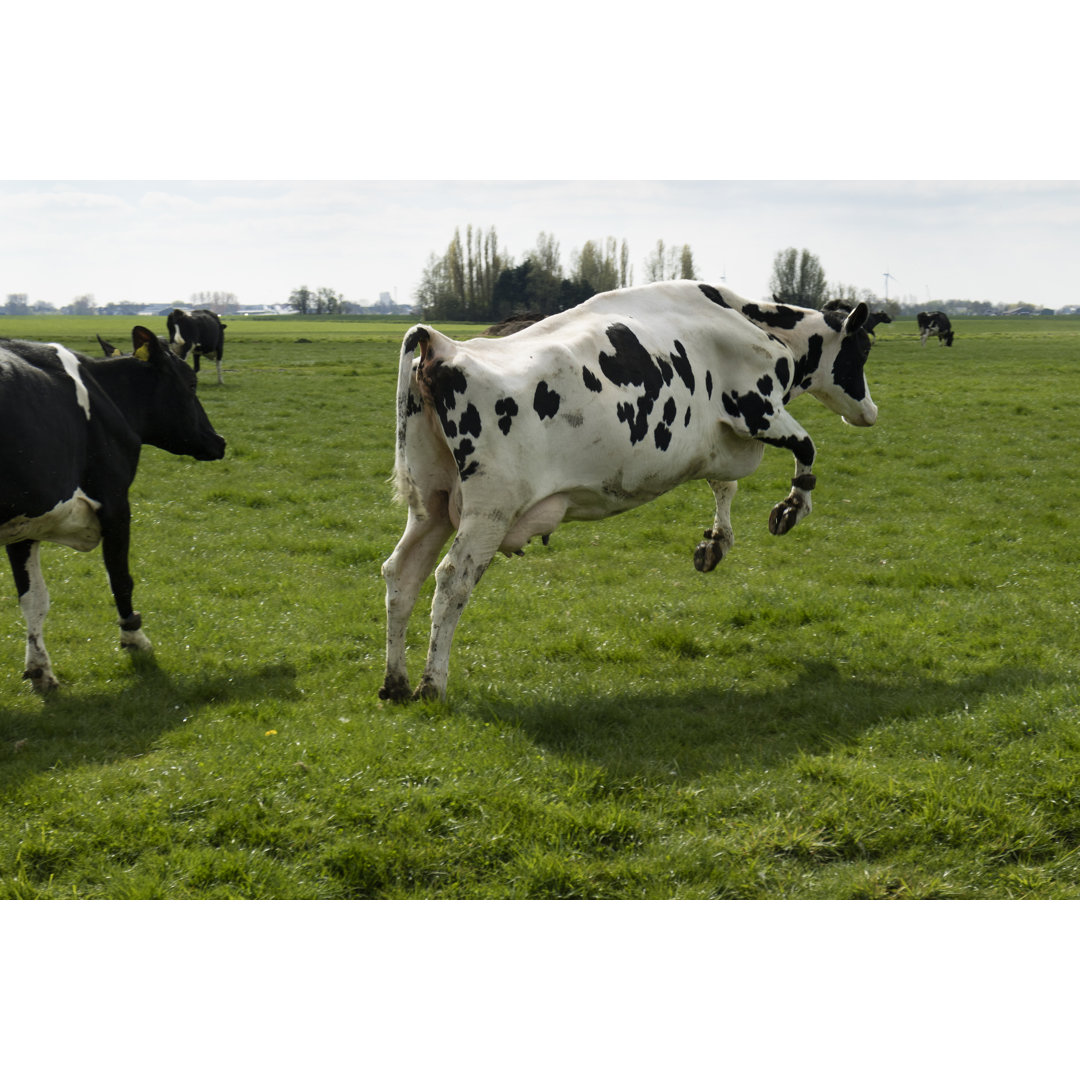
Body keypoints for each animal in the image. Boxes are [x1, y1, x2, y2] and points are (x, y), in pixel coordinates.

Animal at [0, 324, 224, 686]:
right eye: (191, 384)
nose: (219, 441)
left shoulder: (26, 518)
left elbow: (33, 597)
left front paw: (40, 669)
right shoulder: (115, 502)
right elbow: (121, 576)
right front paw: (134, 637)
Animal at [380, 278, 876, 699]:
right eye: (861, 352)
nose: (870, 412)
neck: (746, 319)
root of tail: (442, 346)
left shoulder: (722, 439)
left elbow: (725, 485)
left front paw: (715, 542)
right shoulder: (756, 409)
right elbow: (806, 449)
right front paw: (791, 508)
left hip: (432, 507)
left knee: (401, 575)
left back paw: (396, 684)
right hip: (490, 511)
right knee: (452, 580)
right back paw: (432, 685)